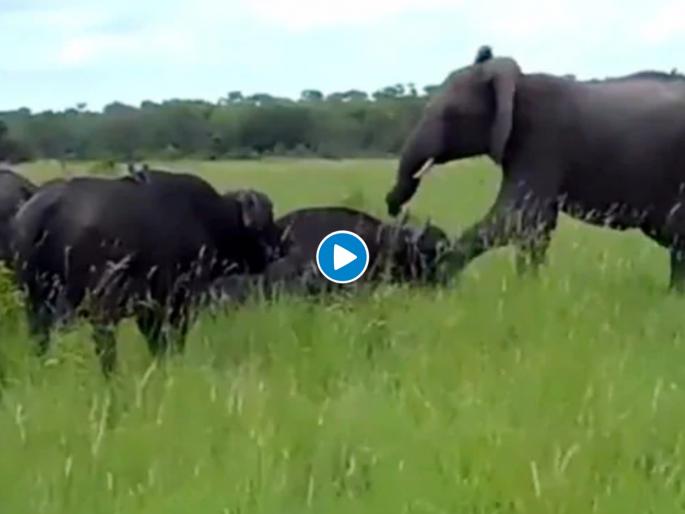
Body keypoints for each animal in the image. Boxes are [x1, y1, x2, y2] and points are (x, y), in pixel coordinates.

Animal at [11, 168, 282, 374]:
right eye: (267, 220)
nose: (279, 245)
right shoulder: (177, 303)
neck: (208, 218)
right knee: (104, 346)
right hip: (101, 307)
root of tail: (48, 208)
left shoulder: (149, 309)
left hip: (36, 303)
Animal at [385, 45, 685, 290]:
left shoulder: (540, 141)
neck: (518, 83)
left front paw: (438, 277)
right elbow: (536, 226)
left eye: (452, 115)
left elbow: (514, 217)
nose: (392, 207)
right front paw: (528, 289)